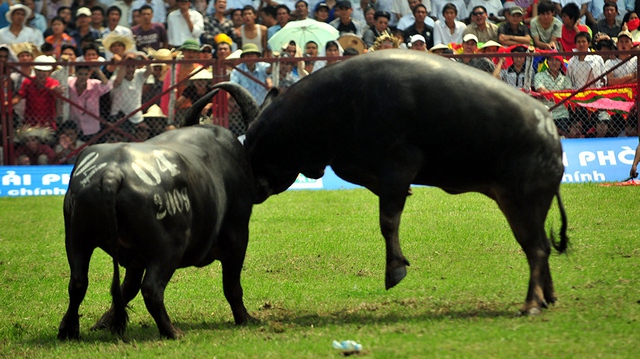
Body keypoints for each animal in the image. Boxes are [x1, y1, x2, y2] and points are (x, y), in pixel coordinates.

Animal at [57, 117, 256, 340]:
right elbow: (232, 285)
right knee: (152, 289)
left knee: (78, 282)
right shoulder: (237, 235)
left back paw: (68, 329)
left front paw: (104, 322)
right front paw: (244, 318)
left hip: (77, 239)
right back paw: (172, 331)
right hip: (167, 249)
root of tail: (112, 172)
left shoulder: (135, 259)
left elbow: (127, 288)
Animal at [202, 50, 568, 316]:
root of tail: (550, 131)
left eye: (256, 144)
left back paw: (531, 303)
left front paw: (395, 270)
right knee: (539, 246)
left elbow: (388, 220)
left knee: (536, 247)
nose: (253, 187)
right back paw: (547, 296)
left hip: (522, 200)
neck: (333, 104)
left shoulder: (398, 166)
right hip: (521, 203)